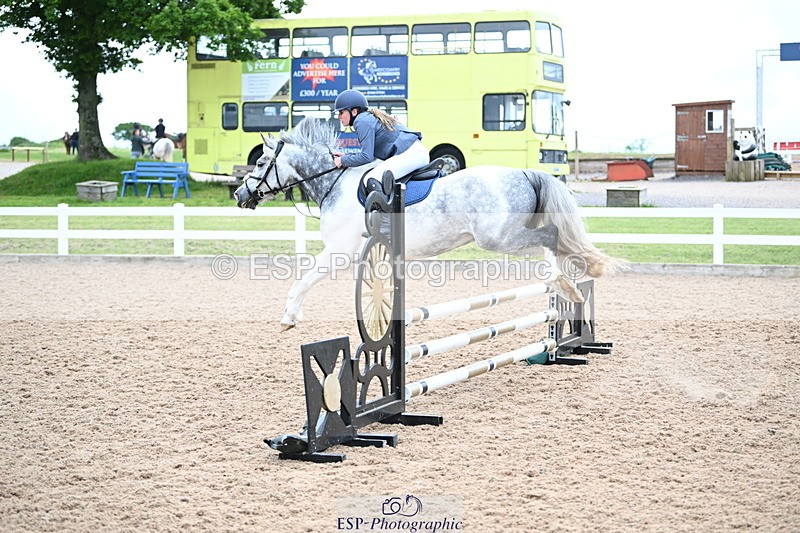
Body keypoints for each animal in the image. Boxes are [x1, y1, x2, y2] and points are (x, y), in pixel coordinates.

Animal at [234, 118, 620, 328]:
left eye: (261, 163)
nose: (239, 194)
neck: (335, 181)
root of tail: (525, 171)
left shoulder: (340, 251)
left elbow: (304, 280)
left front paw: (289, 317)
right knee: (551, 242)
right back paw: (565, 284)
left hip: (497, 237)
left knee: (551, 236)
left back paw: (564, 283)